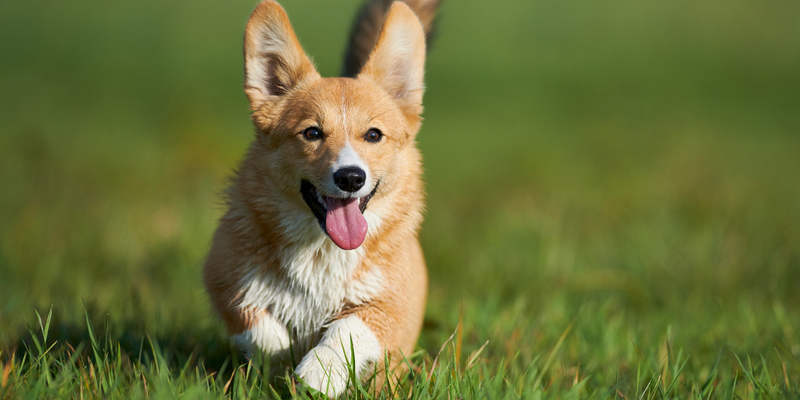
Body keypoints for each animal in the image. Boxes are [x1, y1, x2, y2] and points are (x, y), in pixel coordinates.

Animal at [200, 0, 438, 394]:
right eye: (311, 133)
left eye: (373, 135)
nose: (351, 178)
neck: (320, 249)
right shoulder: (226, 282)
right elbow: (264, 332)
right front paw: (282, 366)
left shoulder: (392, 305)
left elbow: (347, 328)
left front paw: (319, 371)